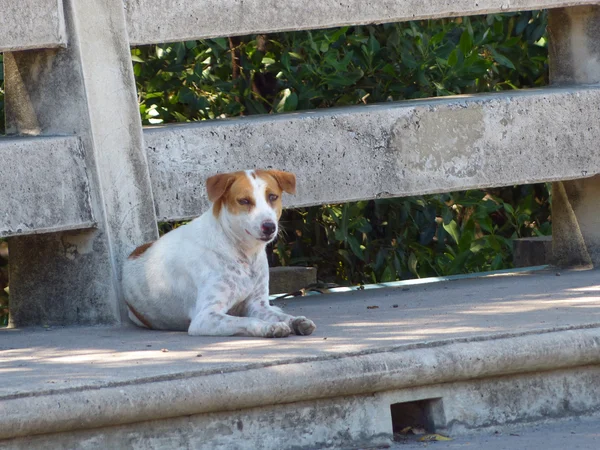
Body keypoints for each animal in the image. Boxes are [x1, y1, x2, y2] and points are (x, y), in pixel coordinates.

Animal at [123, 170, 318, 338]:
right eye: (244, 201)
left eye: (272, 197)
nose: (269, 226)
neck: (242, 253)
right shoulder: (205, 317)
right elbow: (246, 320)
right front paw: (269, 327)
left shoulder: (257, 304)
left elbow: (279, 316)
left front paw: (295, 321)